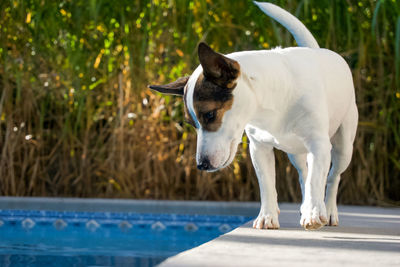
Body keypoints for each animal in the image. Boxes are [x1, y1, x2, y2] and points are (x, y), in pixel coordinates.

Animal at [148, 1, 358, 230]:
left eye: (210, 115)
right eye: (191, 123)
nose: (201, 165)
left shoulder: (318, 144)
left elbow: (317, 179)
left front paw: (313, 214)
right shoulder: (259, 147)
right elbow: (267, 183)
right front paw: (268, 216)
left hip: (343, 146)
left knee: (332, 176)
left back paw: (327, 210)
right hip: (295, 152)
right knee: (304, 172)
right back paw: (306, 205)